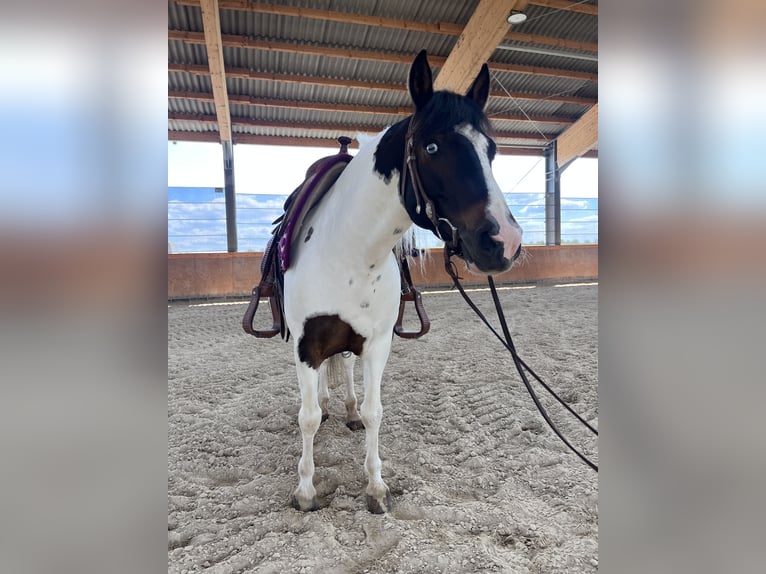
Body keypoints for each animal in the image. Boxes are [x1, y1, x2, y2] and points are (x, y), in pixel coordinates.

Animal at [284, 51, 528, 516]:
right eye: (431, 147)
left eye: (491, 149)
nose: (504, 240)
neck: (350, 253)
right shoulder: (307, 343)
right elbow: (306, 417)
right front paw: (305, 490)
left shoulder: (377, 343)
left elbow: (375, 411)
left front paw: (376, 487)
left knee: (345, 368)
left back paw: (346, 410)